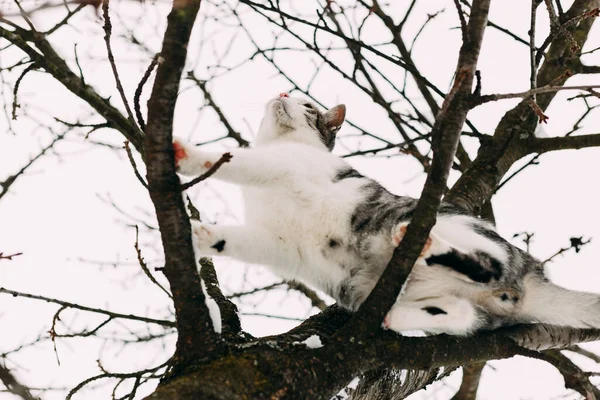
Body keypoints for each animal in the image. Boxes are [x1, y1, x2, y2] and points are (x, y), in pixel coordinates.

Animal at [172, 93, 600, 334]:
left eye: (307, 105)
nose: (281, 92)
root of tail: (532, 278)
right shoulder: (274, 241)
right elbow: (236, 240)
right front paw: (201, 236)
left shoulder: (282, 166)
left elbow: (233, 159)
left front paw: (185, 155)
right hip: (460, 307)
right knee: (464, 314)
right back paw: (398, 318)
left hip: (459, 228)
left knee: (488, 265)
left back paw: (425, 245)